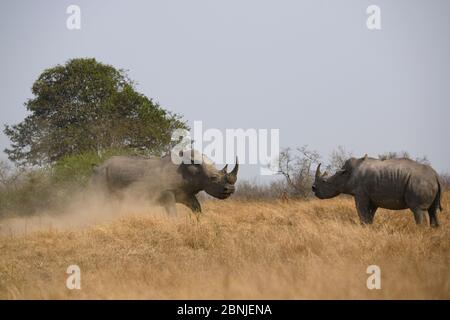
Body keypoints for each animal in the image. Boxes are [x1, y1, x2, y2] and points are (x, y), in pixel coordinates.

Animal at [91, 151, 239, 216]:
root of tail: (98, 165)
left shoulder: (186, 193)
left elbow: (197, 208)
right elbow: (173, 212)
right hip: (100, 175)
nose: (231, 189)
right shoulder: (167, 192)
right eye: (214, 178)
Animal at [312, 156, 442, 228]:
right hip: (427, 181)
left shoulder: (360, 194)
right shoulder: (372, 199)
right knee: (433, 211)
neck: (345, 175)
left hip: (419, 182)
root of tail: (436, 175)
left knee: (418, 209)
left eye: (324, 181)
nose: (313, 188)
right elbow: (369, 217)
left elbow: (362, 214)